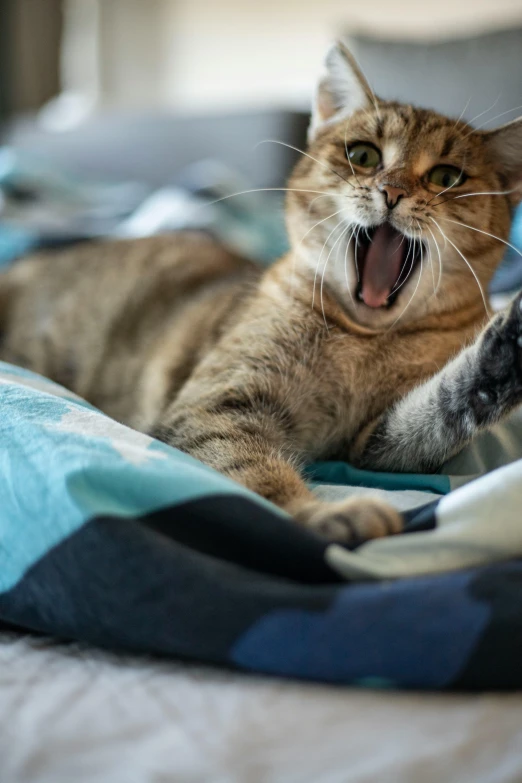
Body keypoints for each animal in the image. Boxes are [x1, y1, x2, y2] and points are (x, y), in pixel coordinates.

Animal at [1, 43, 520, 544]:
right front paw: (324, 514)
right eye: (364, 155)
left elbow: (440, 409)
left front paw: (505, 351)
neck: (363, 341)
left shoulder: (372, 442)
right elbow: (259, 474)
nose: (390, 191)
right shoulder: (220, 407)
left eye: (447, 177)